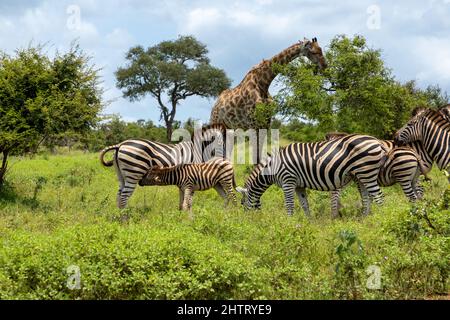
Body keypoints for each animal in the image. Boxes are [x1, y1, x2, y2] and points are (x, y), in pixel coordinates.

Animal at [236, 134, 386, 216]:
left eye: (242, 203)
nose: (249, 221)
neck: (273, 167)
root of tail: (376, 141)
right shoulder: (299, 186)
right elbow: (304, 205)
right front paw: (308, 224)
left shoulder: (288, 181)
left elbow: (289, 205)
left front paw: (289, 225)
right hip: (360, 176)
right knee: (366, 198)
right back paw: (364, 220)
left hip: (367, 173)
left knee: (379, 198)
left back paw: (379, 222)